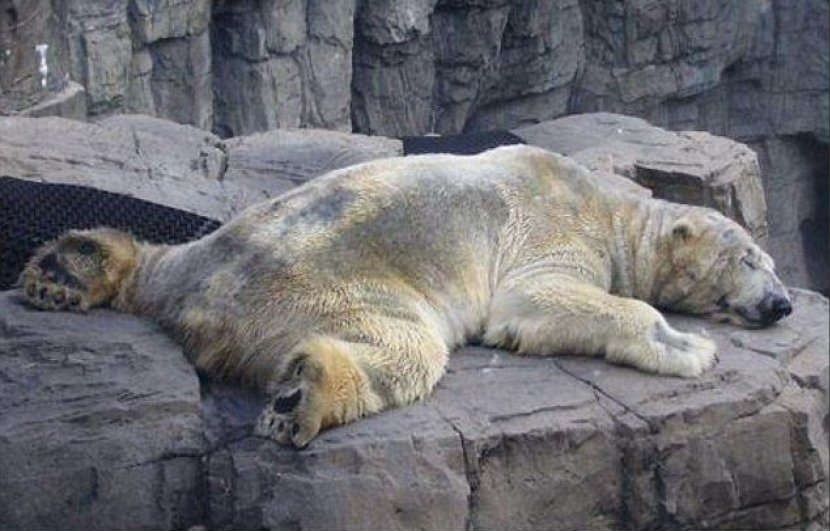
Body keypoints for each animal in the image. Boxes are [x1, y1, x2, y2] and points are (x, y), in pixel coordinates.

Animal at [20, 145, 791, 448]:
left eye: (772, 261)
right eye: (750, 258)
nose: (782, 303)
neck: (610, 209)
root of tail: (199, 301)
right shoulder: (553, 228)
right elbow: (538, 300)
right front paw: (686, 344)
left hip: (202, 254)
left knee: (152, 258)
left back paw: (67, 268)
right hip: (330, 286)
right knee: (404, 346)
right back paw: (305, 394)